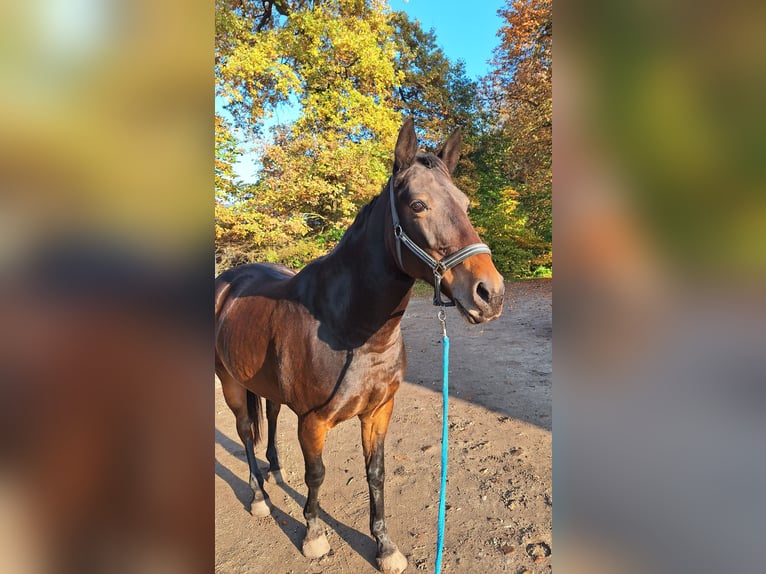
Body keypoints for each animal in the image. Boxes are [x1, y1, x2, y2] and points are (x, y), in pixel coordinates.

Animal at [213, 118, 508, 574]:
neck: (351, 329)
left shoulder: (378, 411)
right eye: (418, 205)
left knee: (270, 420)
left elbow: (376, 473)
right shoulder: (312, 422)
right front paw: (314, 535)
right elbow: (317, 475)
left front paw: (384, 546)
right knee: (245, 432)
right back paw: (259, 496)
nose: (489, 293)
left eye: (466, 202)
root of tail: (229, 281)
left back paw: (273, 472)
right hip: (228, 382)